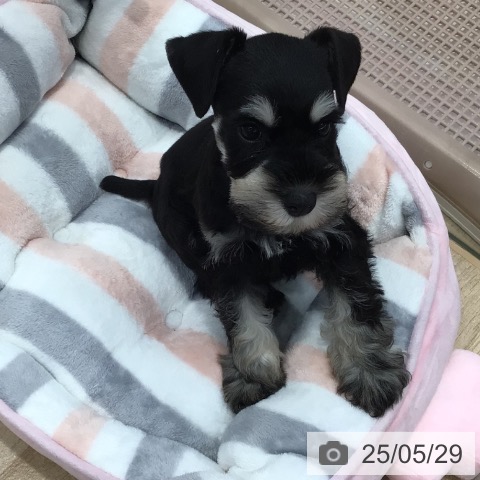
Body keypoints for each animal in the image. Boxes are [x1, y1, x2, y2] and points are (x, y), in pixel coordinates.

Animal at [101, 26, 410, 417]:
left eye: (325, 127)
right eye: (250, 130)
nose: (302, 201)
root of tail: (154, 184)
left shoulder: (340, 238)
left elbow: (357, 304)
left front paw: (370, 371)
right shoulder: (227, 260)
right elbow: (242, 316)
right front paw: (254, 377)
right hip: (182, 234)